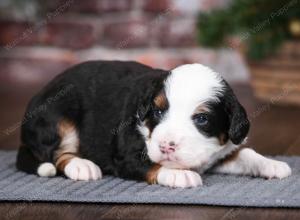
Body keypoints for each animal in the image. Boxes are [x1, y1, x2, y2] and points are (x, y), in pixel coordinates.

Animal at [15, 61, 290, 188]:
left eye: (201, 119)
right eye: (158, 111)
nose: (167, 146)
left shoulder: (220, 153)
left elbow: (246, 154)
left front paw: (273, 165)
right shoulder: (125, 154)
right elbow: (152, 164)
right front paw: (180, 175)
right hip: (58, 116)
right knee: (57, 154)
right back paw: (82, 166)